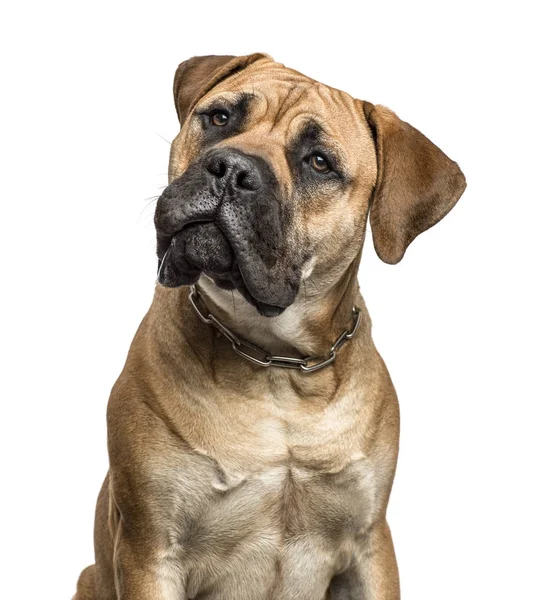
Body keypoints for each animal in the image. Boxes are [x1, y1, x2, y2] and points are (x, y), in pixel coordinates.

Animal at [74, 52, 464, 600]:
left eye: (318, 162)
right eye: (220, 118)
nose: (232, 169)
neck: (277, 365)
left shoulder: (370, 543)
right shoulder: (151, 547)